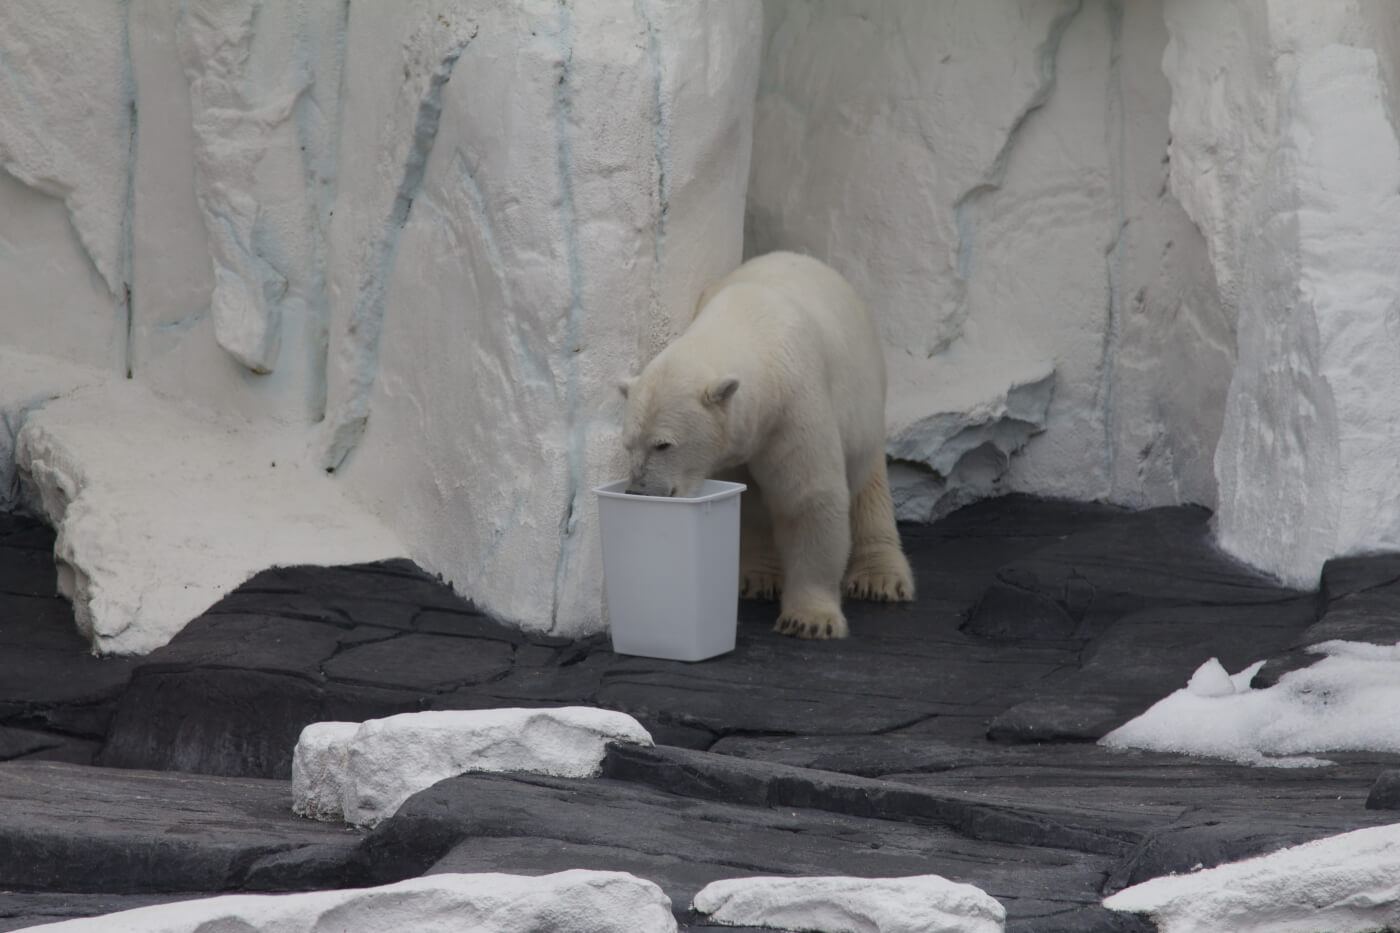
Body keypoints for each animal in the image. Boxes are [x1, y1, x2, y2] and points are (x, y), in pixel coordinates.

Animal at [618, 250, 912, 636]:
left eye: (663, 445)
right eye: (628, 444)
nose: (637, 491)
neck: (751, 324)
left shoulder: (794, 407)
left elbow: (808, 497)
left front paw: (809, 620)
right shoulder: (738, 441)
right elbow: (750, 504)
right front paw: (756, 577)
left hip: (867, 403)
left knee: (869, 488)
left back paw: (879, 578)